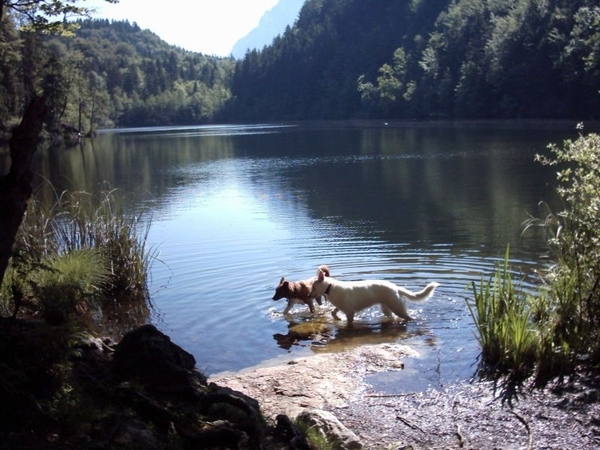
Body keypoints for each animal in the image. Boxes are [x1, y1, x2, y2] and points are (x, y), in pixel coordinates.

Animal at [308, 268, 438, 324]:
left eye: (313, 287)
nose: (309, 296)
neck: (330, 287)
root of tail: (397, 288)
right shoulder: (342, 308)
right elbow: (333, 312)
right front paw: (337, 318)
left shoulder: (350, 312)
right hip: (386, 308)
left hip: (397, 308)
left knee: (408, 318)